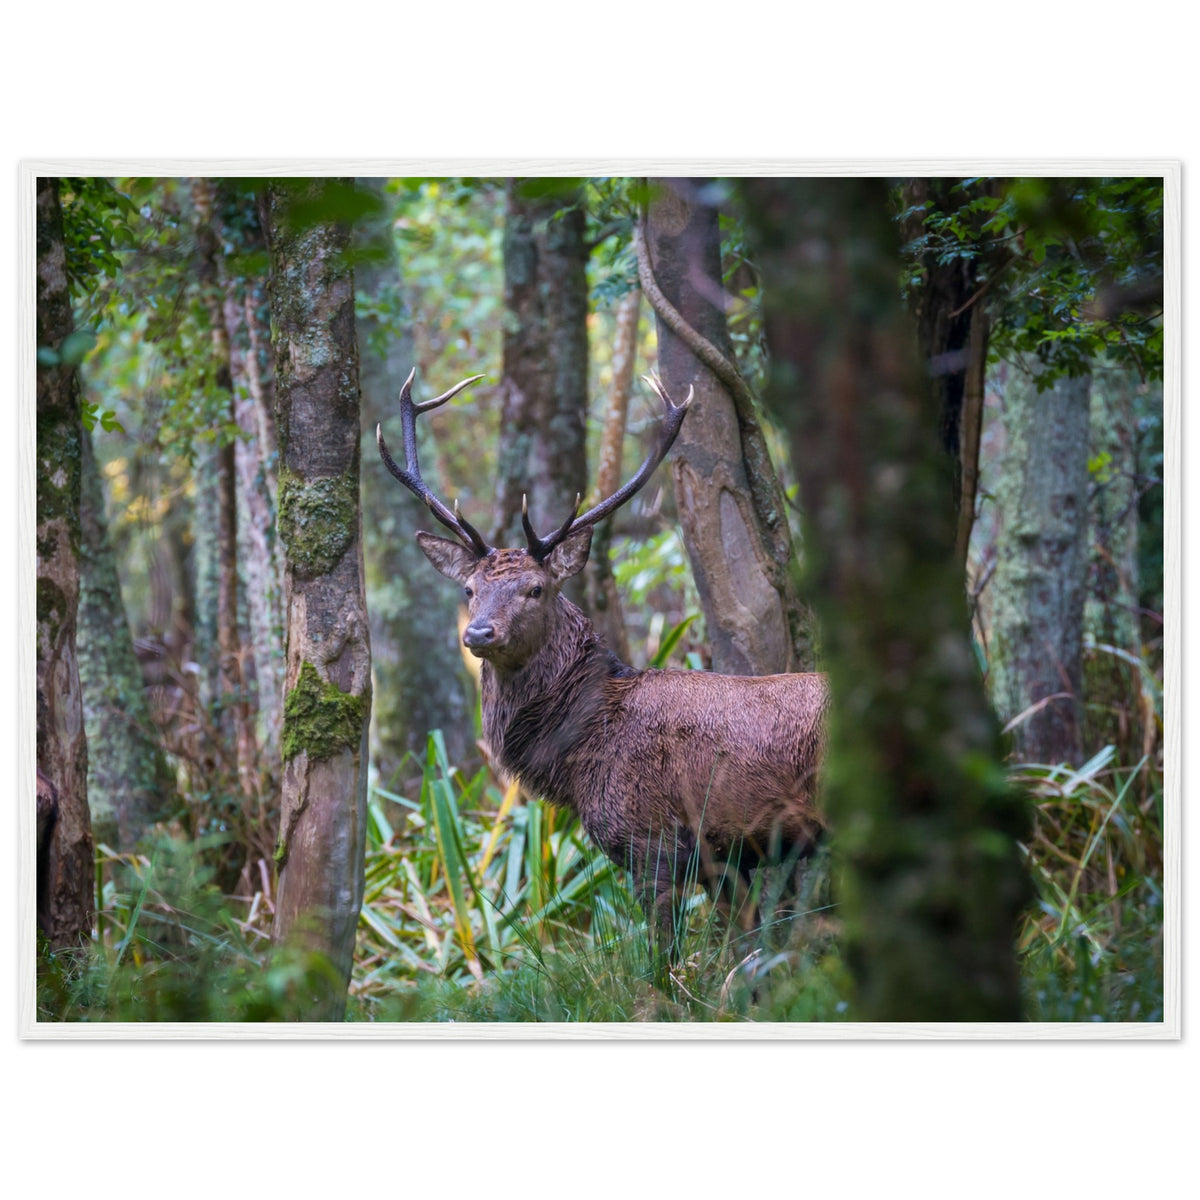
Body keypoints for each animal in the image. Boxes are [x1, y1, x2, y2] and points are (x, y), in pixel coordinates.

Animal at [377, 369, 828, 960]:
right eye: (470, 589)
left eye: (536, 589)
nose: (478, 632)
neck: (578, 757)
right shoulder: (721, 858)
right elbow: (747, 945)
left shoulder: (652, 839)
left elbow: (661, 959)